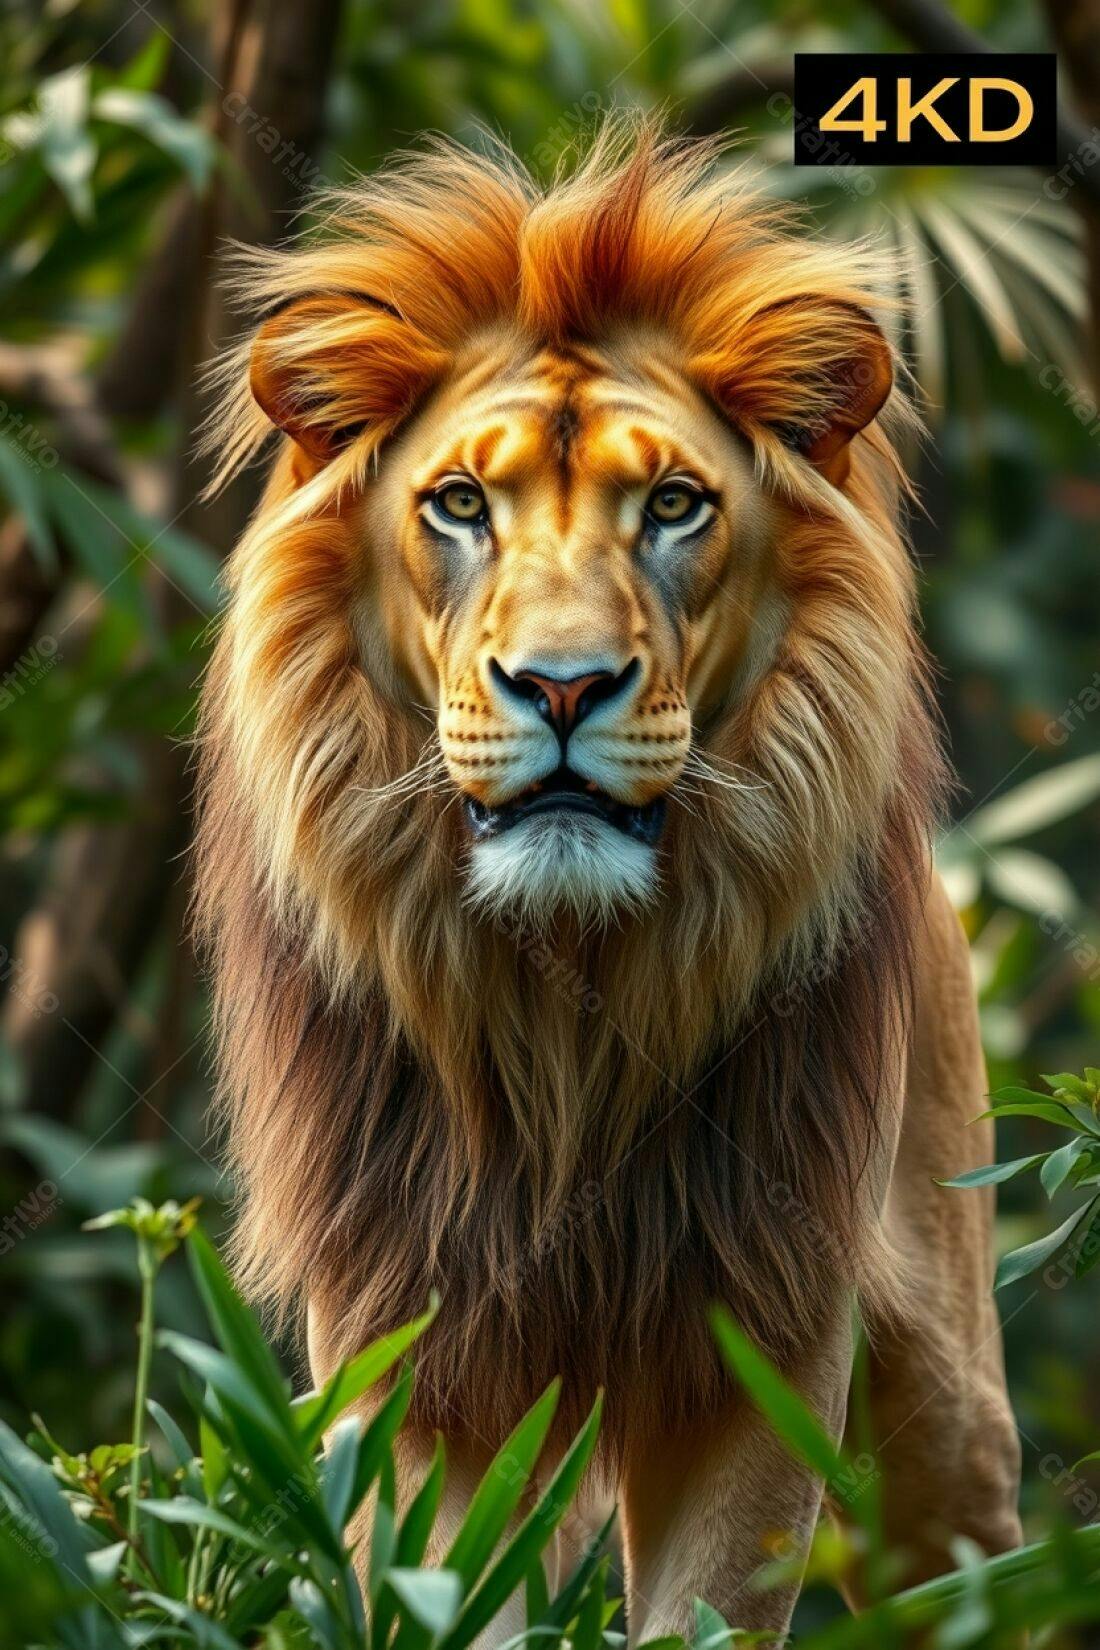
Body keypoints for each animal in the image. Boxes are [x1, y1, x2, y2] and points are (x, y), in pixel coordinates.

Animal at [195, 122, 1022, 1639]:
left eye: (675, 507)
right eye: (461, 504)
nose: (566, 684)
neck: (564, 1001)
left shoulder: (768, 1325)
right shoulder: (413, 1325)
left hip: (945, 1403)